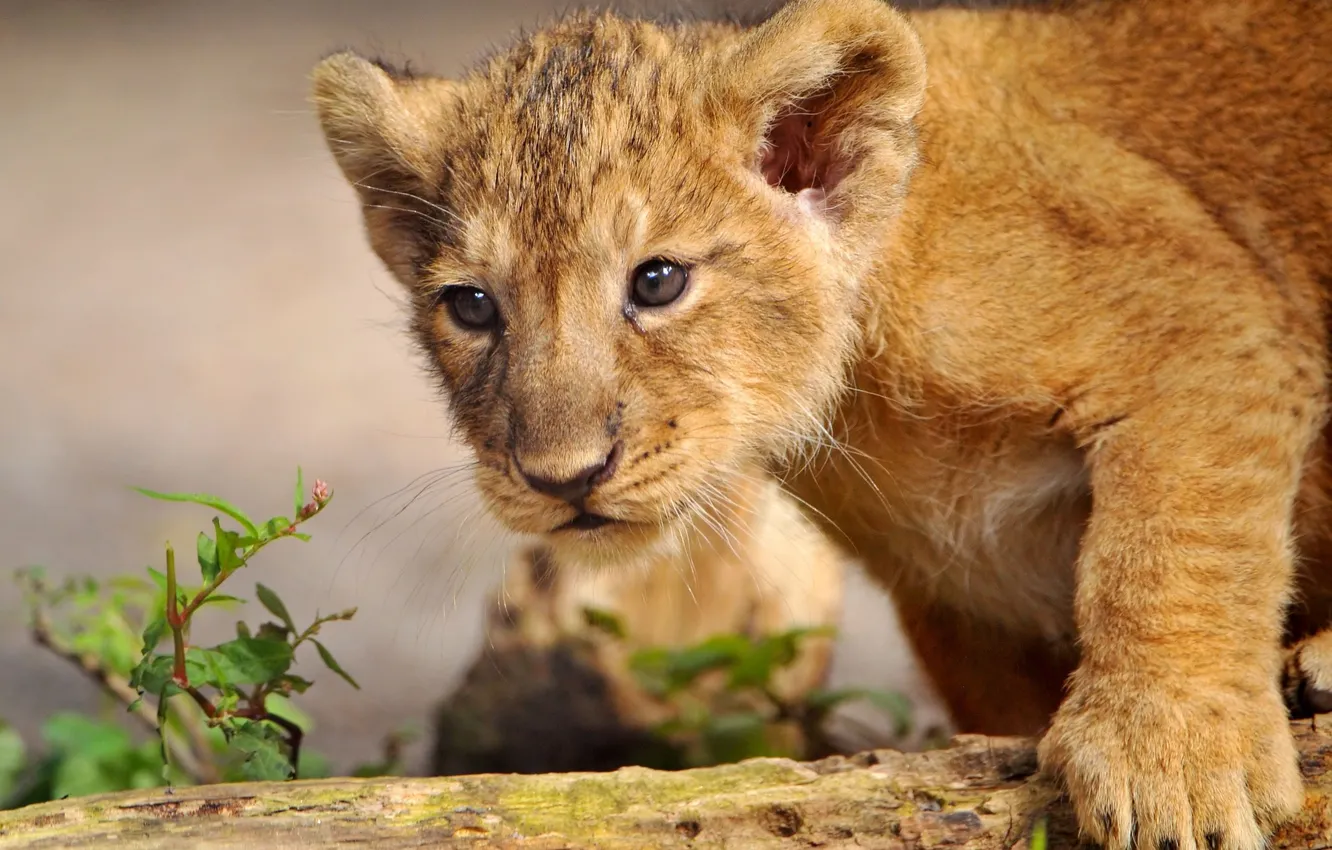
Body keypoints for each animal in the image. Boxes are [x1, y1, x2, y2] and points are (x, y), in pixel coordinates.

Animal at [310, 0, 1332, 846]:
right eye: (473, 307)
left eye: (658, 281)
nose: (562, 477)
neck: (863, 394)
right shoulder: (962, 602)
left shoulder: (1207, 312)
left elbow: (1171, 543)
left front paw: (1171, 762)